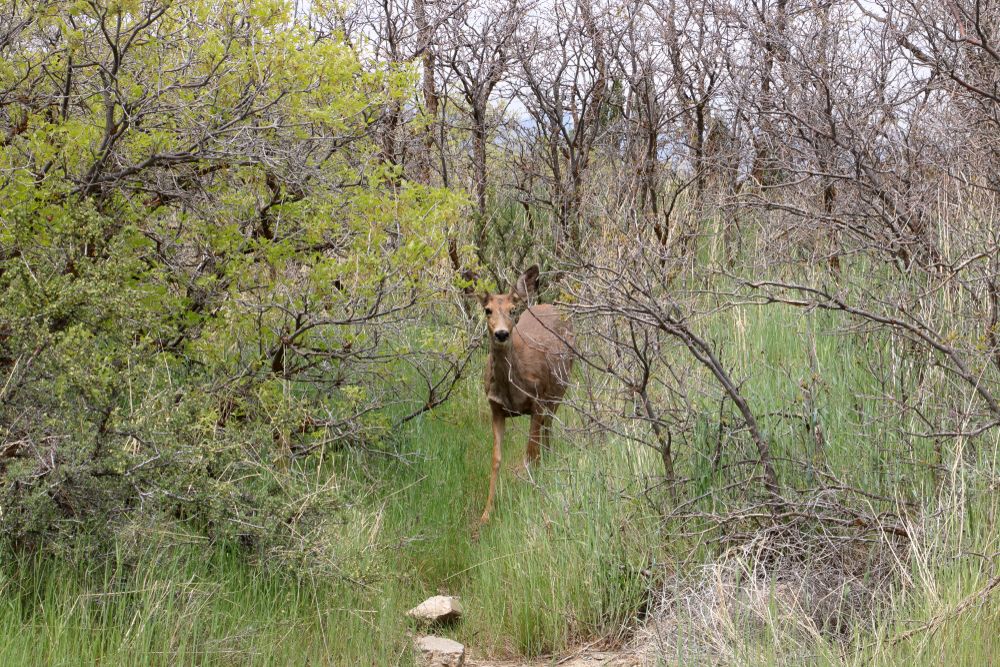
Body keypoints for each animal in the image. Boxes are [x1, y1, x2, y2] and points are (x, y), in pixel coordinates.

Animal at [475, 266, 574, 524]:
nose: (501, 334)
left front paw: (532, 494)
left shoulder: (537, 400)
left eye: (513, 310)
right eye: (487, 310)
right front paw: (486, 513)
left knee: (548, 427)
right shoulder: (495, 408)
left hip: (559, 387)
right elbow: (496, 459)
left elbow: (530, 452)